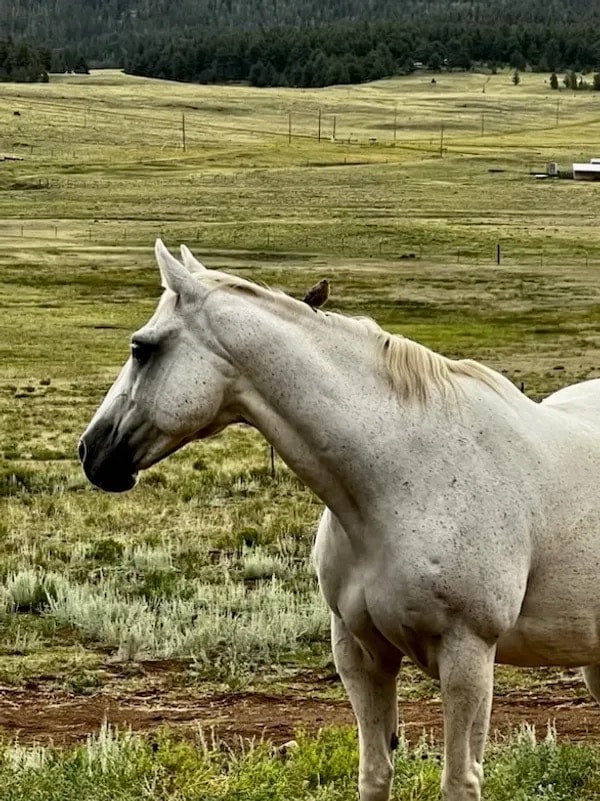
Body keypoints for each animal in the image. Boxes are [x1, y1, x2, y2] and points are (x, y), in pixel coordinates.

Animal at [80, 240, 600, 801]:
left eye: (142, 348)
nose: (91, 451)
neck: (404, 476)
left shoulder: (468, 656)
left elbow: (459, 780)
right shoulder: (360, 654)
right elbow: (375, 772)